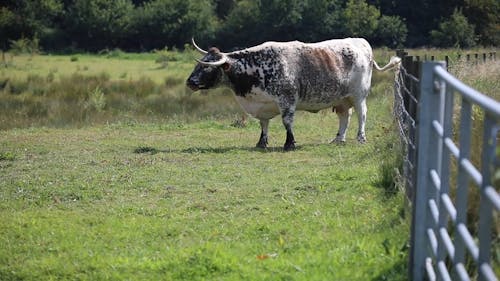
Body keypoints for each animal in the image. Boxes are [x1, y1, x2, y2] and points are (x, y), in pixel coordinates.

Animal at [186, 38, 400, 151]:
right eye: (199, 64)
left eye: (207, 67)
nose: (190, 82)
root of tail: (360, 42)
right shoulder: (263, 105)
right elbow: (264, 125)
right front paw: (261, 143)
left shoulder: (287, 101)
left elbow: (287, 122)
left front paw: (289, 143)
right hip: (341, 99)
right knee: (344, 117)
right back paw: (338, 139)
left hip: (359, 95)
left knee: (362, 114)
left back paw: (361, 138)